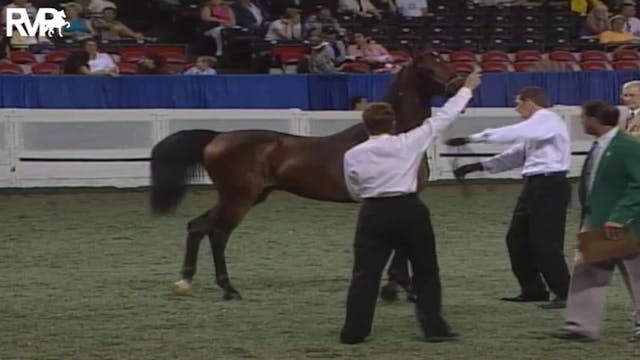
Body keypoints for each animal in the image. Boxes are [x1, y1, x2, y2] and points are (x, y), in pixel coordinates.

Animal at [150, 52, 464, 300]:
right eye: (427, 68)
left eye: (442, 61)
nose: (459, 85)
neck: (394, 137)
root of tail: (217, 137)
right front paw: (403, 288)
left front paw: (395, 288)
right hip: (239, 199)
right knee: (217, 234)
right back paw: (229, 289)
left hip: (240, 196)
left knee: (197, 226)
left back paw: (184, 281)